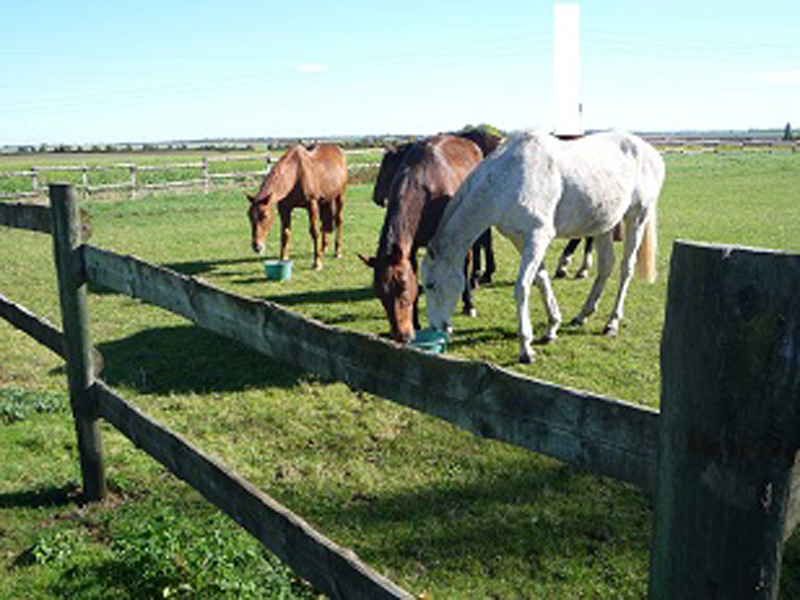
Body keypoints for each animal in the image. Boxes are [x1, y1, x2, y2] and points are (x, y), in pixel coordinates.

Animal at [360, 134, 484, 343]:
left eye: (402, 288)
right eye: (379, 292)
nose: (401, 336)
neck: (426, 186)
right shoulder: (411, 248)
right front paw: (416, 322)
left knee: (466, 262)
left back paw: (469, 304)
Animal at [422, 130, 664, 364]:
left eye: (431, 285)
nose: (436, 328)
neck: (508, 178)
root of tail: (651, 152)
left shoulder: (538, 237)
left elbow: (522, 287)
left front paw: (526, 349)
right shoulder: (521, 240)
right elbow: (541, 279)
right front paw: (552, 326)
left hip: (637, 217)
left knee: (626, 269)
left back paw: (611, 323)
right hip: (604, 225)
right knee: (606, 266)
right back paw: (582, 315)